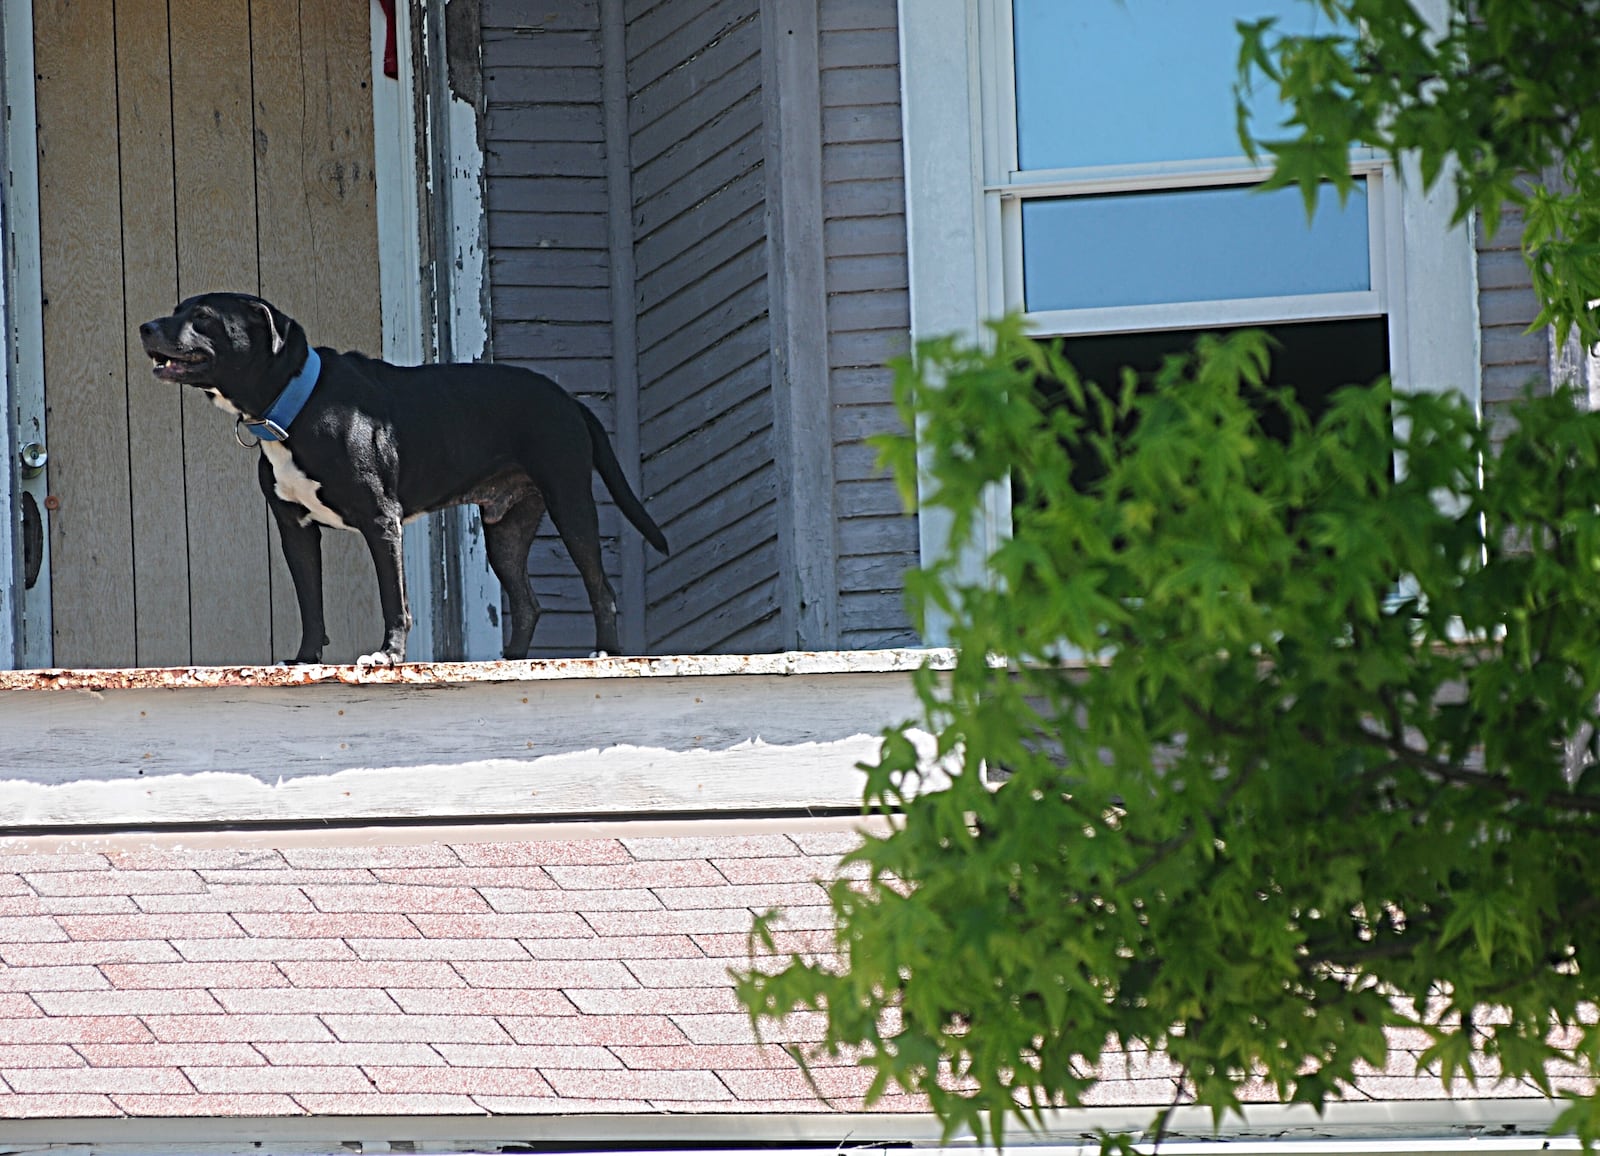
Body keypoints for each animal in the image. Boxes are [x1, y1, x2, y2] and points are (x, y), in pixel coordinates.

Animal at [137, 293, 662, 662]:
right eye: (177, 308)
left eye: (202, 316)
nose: (144, 326)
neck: (295, 403)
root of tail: (568, 400)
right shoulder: (295, 530)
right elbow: (311, 603)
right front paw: (305, 659)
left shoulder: (380, 521)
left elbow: (395, 600)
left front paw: (388, 655)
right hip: (507, 529)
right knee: (529, 601)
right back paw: (512, 660)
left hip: (569, 501)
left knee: (601, 587)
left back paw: (605, 652)